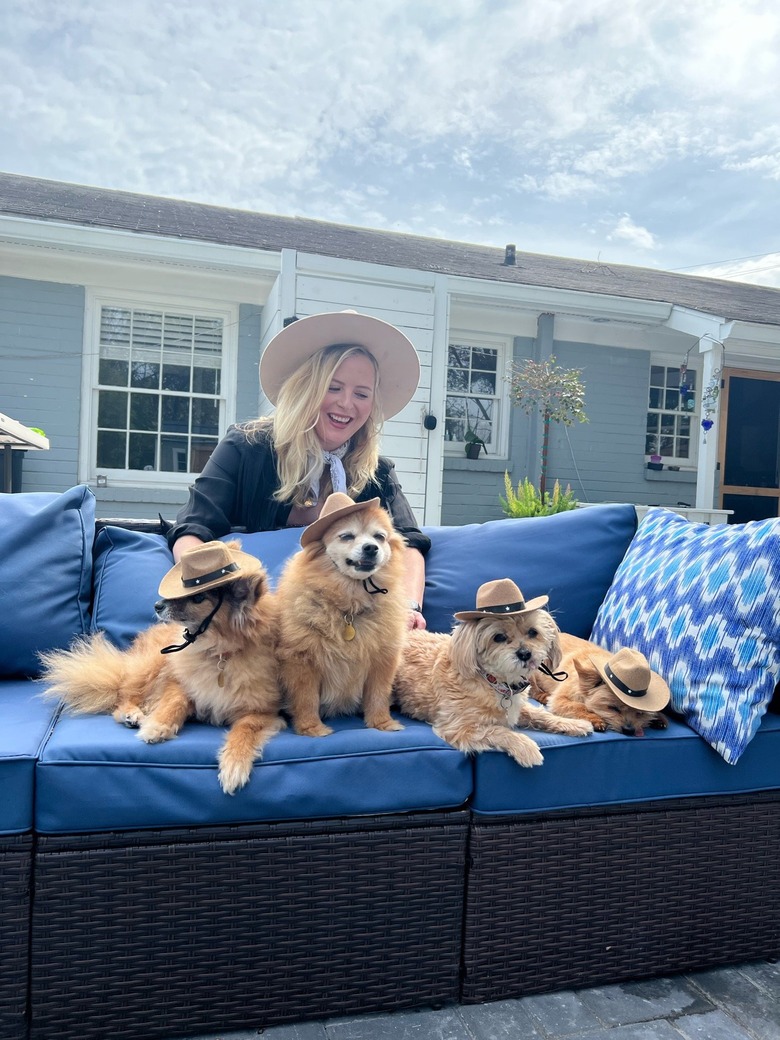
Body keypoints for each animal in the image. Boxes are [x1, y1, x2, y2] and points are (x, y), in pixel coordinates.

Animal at [39, 540, 284, 790]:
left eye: (198, 599)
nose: (157, 605)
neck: (217, 653)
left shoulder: (261, 712)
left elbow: (245, 729)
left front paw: (234, 763)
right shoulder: (178, 682)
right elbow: (175, 702)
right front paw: (157, 726)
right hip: (152, 664)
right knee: (122, 696)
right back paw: (132, 714)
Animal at [274, 490, 409, 736]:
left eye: (379, 537)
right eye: (347, 537)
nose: (371, 548)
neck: (350, 605)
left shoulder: (382, 661)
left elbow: (378, 696)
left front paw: (382, 723)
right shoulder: (302, 662)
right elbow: (306, 699)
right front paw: (311, 728)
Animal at [393, 578, 594, 765]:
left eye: (532, 632)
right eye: (498, 637)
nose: (525, 654)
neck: (494, 681)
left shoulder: (518, 708)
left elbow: (540, 714)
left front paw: (573, 723)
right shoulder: (460, 728)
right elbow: (499, 730)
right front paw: (526, 747)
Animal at [536, 628, 673, 736]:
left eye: (639, 713)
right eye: (613, 708)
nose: (629, 730)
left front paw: (658, 718)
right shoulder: (559, 700)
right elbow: (579, 706)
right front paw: (596, 719)